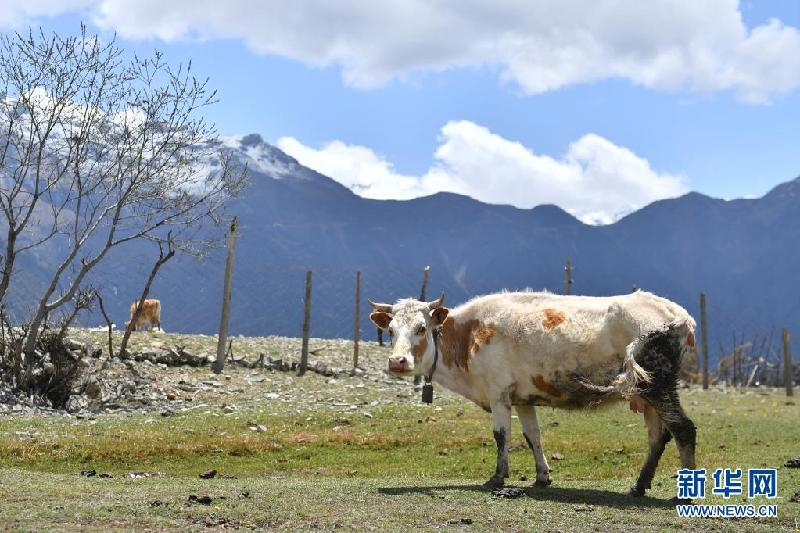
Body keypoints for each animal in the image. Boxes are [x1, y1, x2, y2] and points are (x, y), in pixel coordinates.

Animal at [368, 290, 692, 494]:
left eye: (421, 328)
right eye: (391, 330)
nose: (397, 361)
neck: (468, 337)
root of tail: (676, 313)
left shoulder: (498, 392)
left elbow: (501, 435)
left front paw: (497, 477)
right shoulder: (522, 398)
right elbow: (532, 435)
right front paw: (542, 476)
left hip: (659, 387)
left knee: (683, 429)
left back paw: (682, 494)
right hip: (648, 394)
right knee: (658, 436)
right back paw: (639, 485)